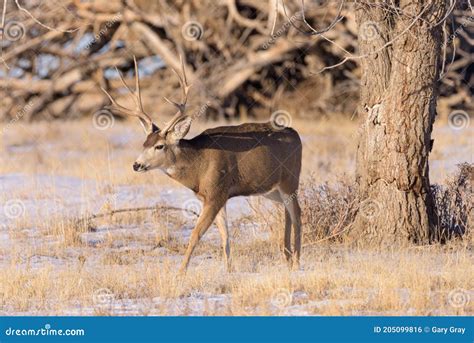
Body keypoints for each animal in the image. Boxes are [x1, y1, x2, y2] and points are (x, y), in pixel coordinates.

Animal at [102, 57, 304, 274]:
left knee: (297, 213)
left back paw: (296, 262)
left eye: (159, 146)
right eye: (144, 143)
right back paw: (287, 257)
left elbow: (196, 234)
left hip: (290, 179)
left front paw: (181, 272)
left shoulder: (216, 192)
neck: (198, 165)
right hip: (271, 189)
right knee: (287, 211)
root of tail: (296, 134)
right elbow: (225, 235)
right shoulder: (214, 196)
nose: (136, 165)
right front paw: (228, 270)